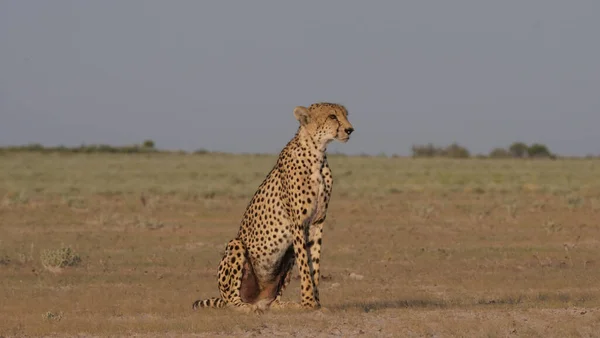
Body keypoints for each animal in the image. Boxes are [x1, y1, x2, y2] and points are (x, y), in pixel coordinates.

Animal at [192, 101, 352, 312]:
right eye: (332, 116)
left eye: (346, 115)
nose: (350, 129)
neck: (317, 153)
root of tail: (255, 299)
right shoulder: (298, 223)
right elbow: (305, 267)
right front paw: (309, 302)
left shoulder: (317, 222)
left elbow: (314, 265)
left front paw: (316, 302)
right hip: (236, 245)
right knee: (231, 301)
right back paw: (246, 307)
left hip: (286, 259)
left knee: (270, 301)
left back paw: (283, 305)